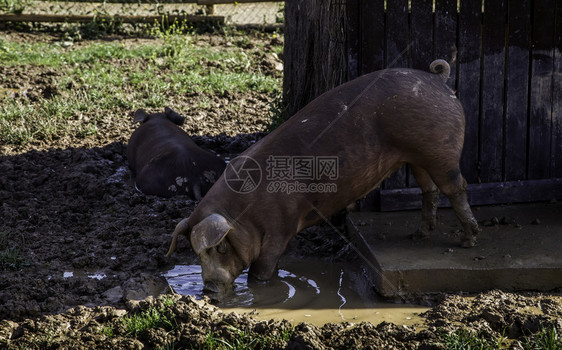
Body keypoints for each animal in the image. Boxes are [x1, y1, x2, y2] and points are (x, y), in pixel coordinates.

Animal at [164, 60, 480, 296]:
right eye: (196, 254)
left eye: (219, 247)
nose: (208, 290)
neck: (245, 213)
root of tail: (438, 80)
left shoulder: (281, 228)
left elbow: (263, 269)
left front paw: (261, 289)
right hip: (416, 157)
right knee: (429, 189)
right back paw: (419, 234)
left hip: (440, 150)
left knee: (457, 187)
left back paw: (468, 241)